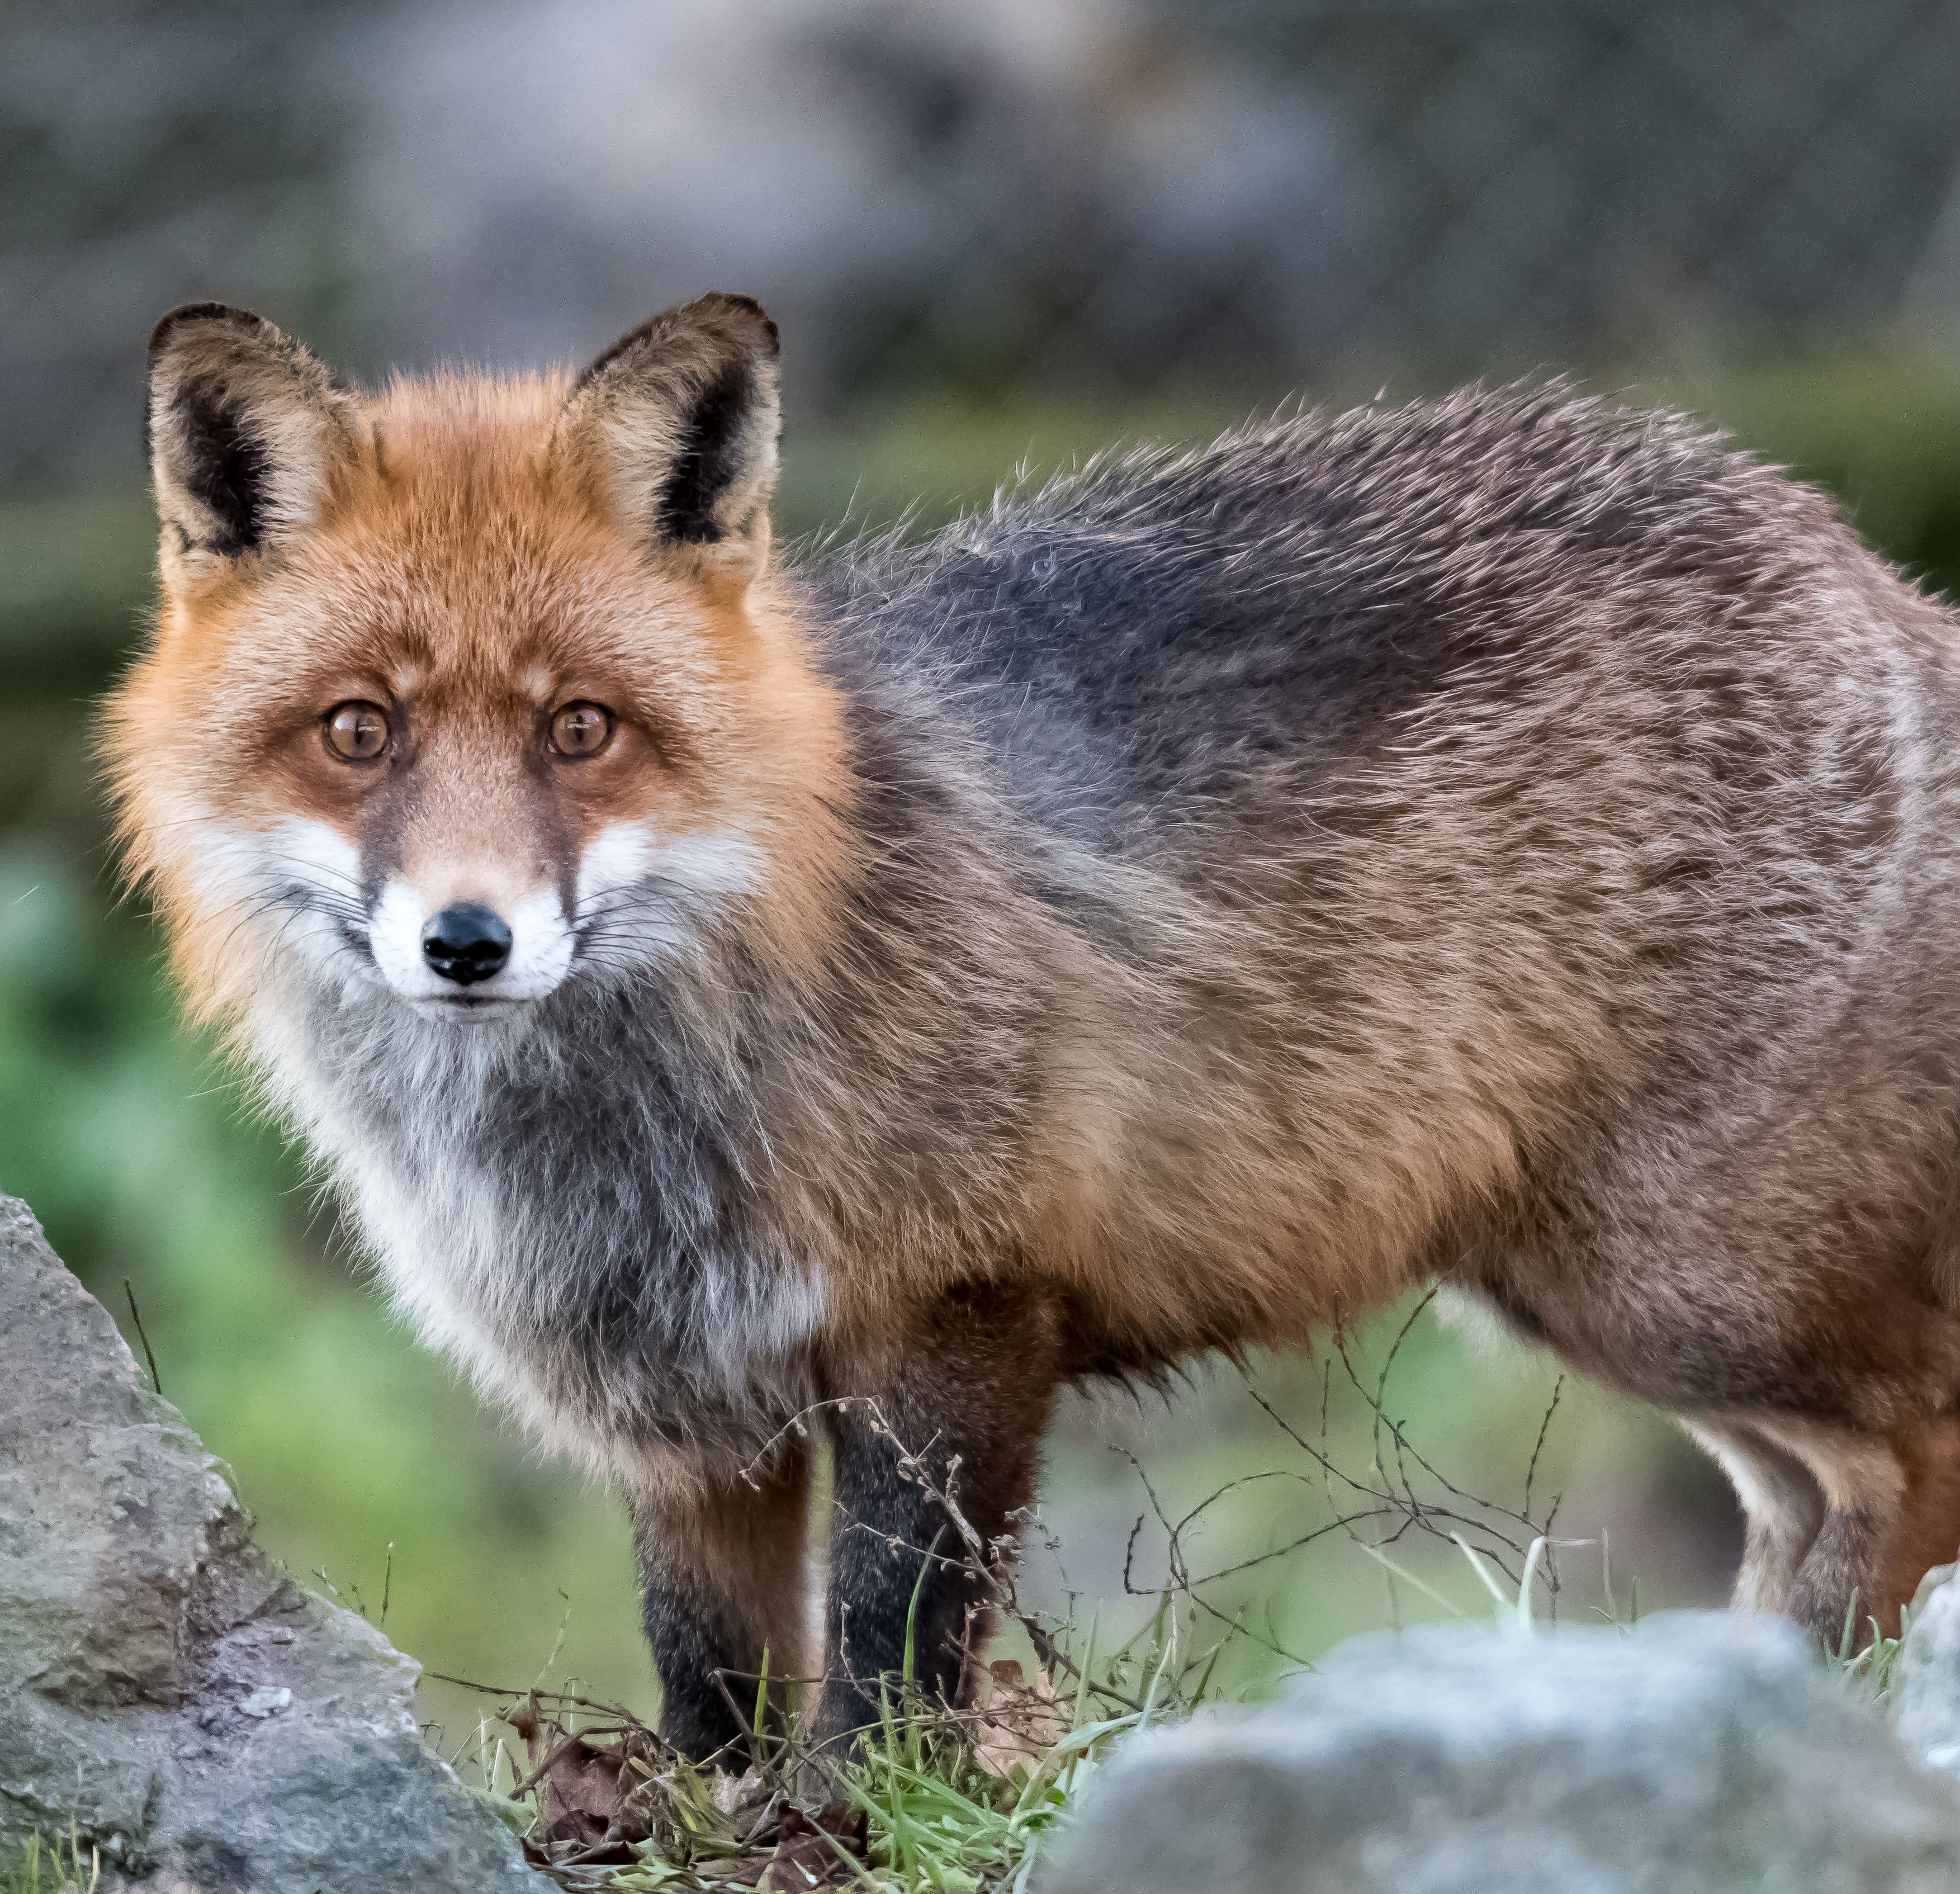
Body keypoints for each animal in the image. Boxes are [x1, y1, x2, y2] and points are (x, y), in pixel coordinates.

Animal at [111, 296, 1960, 1764]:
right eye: (358, 730)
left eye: (582, 728)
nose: (468, 942)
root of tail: (1856, 560)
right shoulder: (675, 1411)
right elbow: (712, 1692)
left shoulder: (961, 1309)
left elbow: (890, 1653)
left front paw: (866, 1817)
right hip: (1612, 1302)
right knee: (1812, 1506)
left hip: (1672, 1283)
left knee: (1913, 1445)